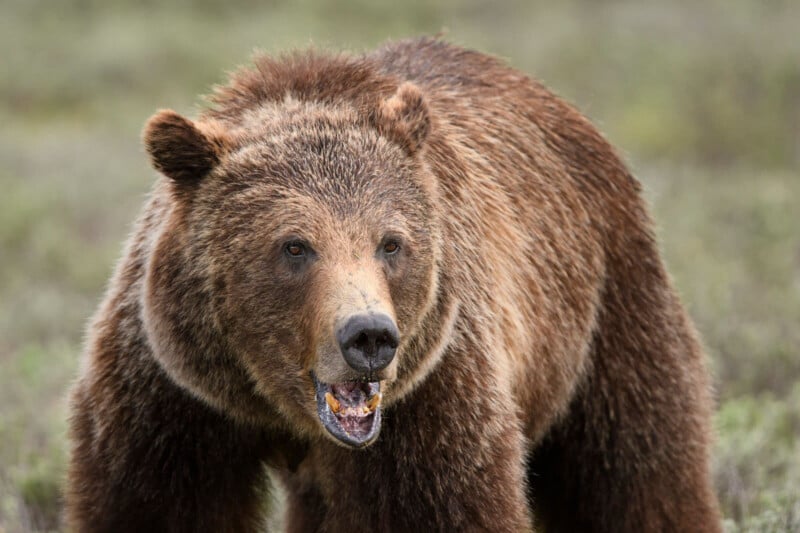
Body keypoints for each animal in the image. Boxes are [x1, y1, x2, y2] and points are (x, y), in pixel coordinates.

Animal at [66, 38, 722, 532]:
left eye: (390, 243)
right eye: (294, 246)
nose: (369, 336)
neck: (282, 410)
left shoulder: (430, 394)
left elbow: (439, 506)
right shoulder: (175, 393)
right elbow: (155, 503)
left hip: (607, 306)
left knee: (634, 464)